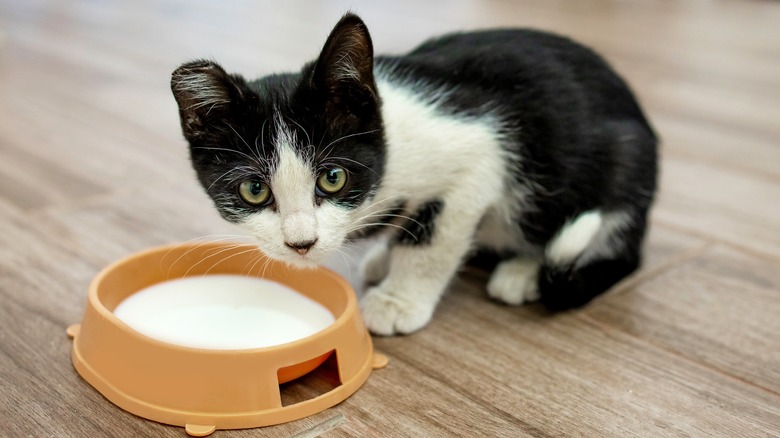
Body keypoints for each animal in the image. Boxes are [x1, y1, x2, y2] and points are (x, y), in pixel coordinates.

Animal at [171, 12, 660, 336]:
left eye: (333, 178)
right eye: (254, 189)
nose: (301, 244)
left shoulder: (482, 154)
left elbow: (433, 240)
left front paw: (397, 300)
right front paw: (388, 254)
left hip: (623, 168)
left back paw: (521, 271)